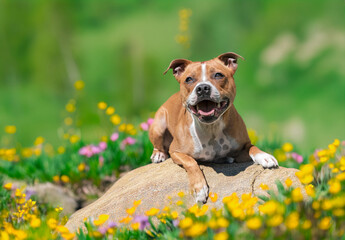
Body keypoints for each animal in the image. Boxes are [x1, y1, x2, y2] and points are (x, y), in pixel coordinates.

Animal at [149, 52, 278, 202]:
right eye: (189, 79)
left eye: (218, 75)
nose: (202, 88)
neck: (211, 128)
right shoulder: (176, 151)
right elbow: (191, 162)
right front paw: (199, 188)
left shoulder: (242, 148)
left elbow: (252, 147)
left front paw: (264, 156)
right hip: (158, 125)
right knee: (158, 144)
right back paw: (158, 154)